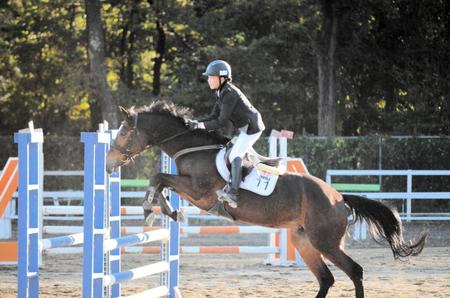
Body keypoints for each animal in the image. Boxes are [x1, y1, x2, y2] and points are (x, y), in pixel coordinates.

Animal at [105, 100, 426, 298]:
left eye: (125, 133)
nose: (108, 163)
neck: (192, 148)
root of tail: (338, 197)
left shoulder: (198, 192)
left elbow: (158, 178)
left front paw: (154, 209)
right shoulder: (190, 189)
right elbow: (160, 181)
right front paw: (165, 211)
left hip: (325, 242)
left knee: (354, 271)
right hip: (304, 241)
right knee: (327, 278)